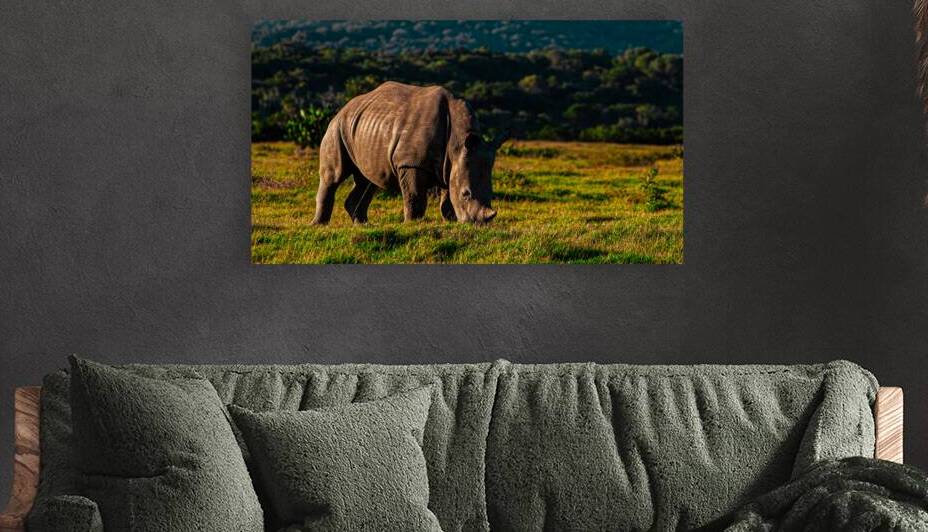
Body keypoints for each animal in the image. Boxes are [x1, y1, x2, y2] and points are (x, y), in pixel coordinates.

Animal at [312, 81, 506, 225]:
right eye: (466, 194)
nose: (479, 224)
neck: (457, 142)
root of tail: (344, 107)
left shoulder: (451, 163)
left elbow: (448, 193)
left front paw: (450, 220)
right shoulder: (411, 163)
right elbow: (415, 195)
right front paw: (413, 223)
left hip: (362, 129)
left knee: (367, 181)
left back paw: (363, 224)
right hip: (338, 127)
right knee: (334, 176)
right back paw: (319, 225)